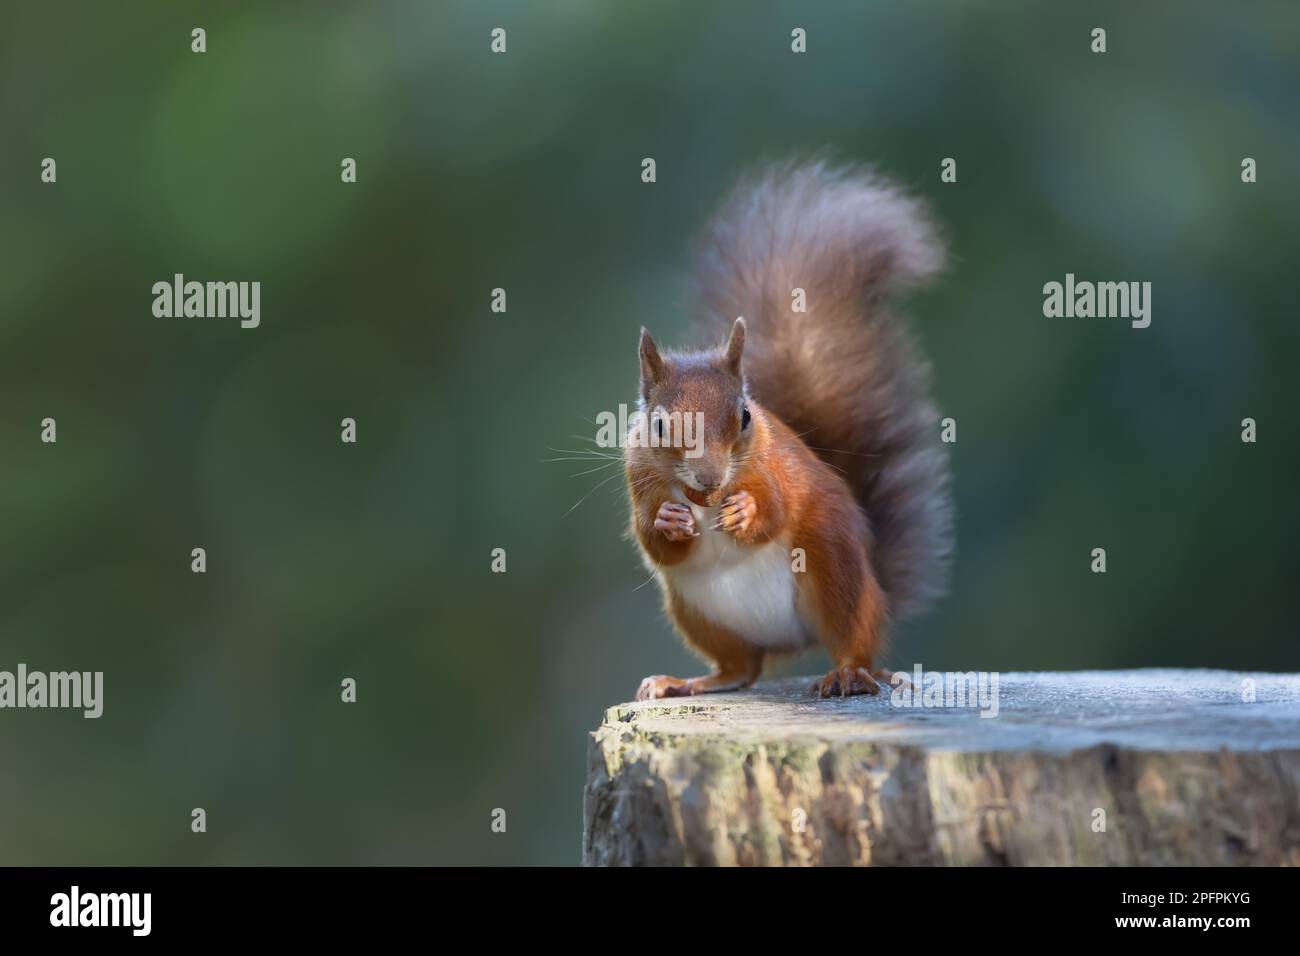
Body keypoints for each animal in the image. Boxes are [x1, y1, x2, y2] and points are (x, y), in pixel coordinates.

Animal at [624, 158, 951, 702]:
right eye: (659, 425)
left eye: (744, 416)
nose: (711, 481)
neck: (703, 500)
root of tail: (791, 641)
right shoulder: (639, 479)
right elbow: (654, 542)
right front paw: (669, 520)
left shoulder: (777, 468)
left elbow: (777, 509)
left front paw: (745, 510)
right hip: (696, 610)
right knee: (741, 668)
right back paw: (686, 681)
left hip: (833, 567)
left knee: (853, 638)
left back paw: (849, 672)